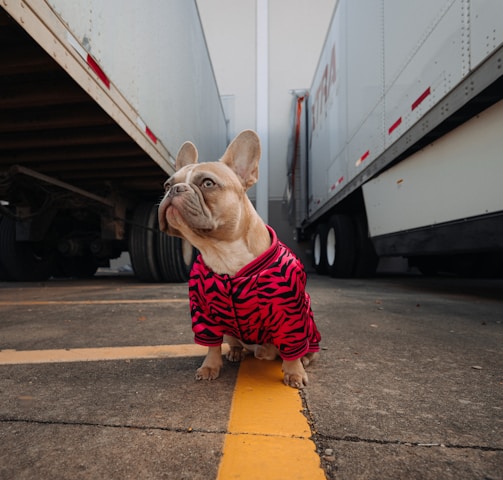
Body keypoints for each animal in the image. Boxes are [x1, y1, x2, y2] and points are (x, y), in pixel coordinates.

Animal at [159, 129, 320, 388]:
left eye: (207, 183)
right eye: (166, 185)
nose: (175, 190)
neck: (222, 250)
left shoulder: (289, 313)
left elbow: (291, 347)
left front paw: (294, 372)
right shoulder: (203, 312)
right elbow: (212, 345)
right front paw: (210, 366)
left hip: (310, 328)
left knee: (304, 348)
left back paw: (305, 358)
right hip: (230, 330)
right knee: (234, 342)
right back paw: (235, 352)